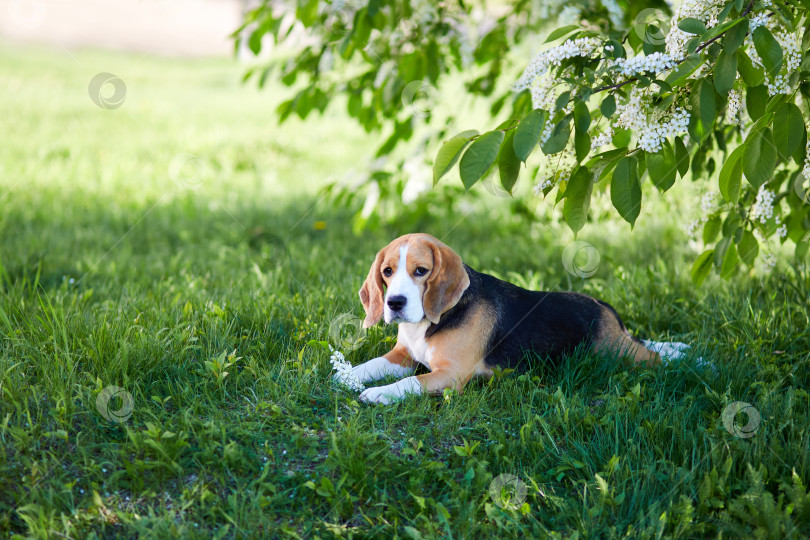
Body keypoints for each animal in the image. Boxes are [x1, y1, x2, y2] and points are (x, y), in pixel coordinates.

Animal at [344, 233, 692, 404]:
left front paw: (378, 393)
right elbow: (372, 364)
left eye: (421, 271)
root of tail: (601, 304)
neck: (428, 323)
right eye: (388, 271)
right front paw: (347, 374)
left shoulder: (451, 375)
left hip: (616, 352)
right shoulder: (403, 354)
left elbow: (409, 382)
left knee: (654, 357)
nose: (394, 303)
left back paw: (694, 360)